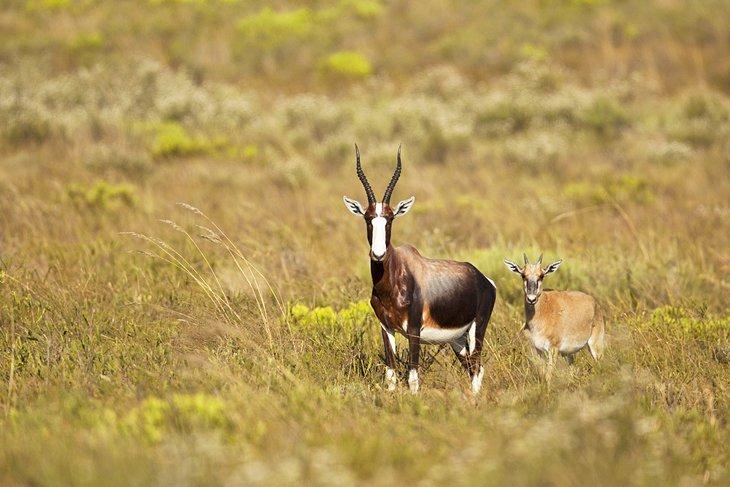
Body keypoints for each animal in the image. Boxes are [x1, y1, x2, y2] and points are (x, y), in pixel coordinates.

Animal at [343, 145, 497, 394]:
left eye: (390, 219)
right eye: (368, 218)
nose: (378, 254)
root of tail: (485, 280)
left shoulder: (414, 330)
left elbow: (413, 377)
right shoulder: (386, 328)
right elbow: (391, 375)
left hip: (477, 331)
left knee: (477, 367)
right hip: (457, 339)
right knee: (473, 367)